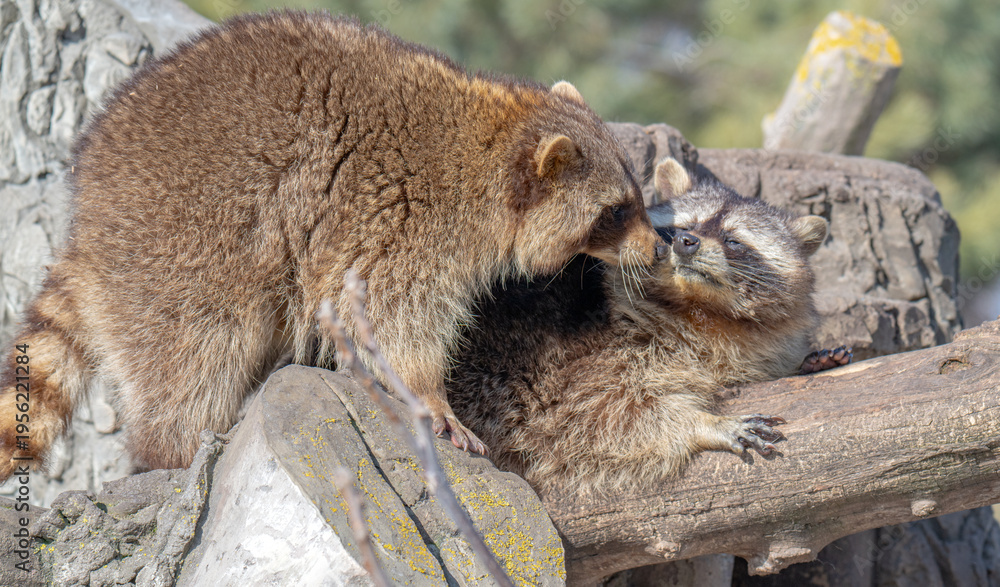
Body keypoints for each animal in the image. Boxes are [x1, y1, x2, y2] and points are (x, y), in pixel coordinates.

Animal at [449, 157, 843, 491]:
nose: (687, 242)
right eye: (681, 226)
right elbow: (596, 416)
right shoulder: (567, 358)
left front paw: (808, 362)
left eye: (733, 241)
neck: (699, 310)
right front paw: (701, 423)